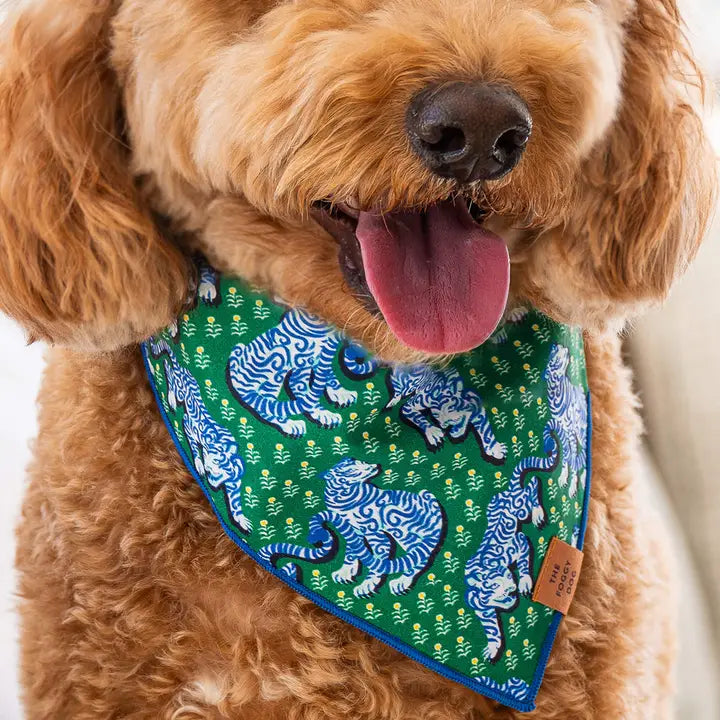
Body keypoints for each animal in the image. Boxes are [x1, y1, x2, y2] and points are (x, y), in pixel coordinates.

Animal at [148, 338, 251, 534]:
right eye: (216, 465)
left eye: (223, 473)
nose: (211, 478)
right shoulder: (189, 427)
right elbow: (196, 449)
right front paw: (199, 463)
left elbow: (235, 506)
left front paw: (240, 520)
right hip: (180, 388)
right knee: (168, 369)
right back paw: (171, 398)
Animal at [227, 309, 359, 438]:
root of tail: (236, 375)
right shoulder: (302, 360)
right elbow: (303, 390)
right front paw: (323, 414)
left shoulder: (318, 357)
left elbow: (328, 374)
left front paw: (341, 393)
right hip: (278, 358)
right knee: (265, 402)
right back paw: (289, 424)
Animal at [259, 457, 446, 598]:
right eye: (352, 468)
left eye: (363, 462)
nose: (375, 466)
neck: (344, 497)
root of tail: (429, 500)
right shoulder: (352, 531)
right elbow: (351, 552)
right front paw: (345, 572)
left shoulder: (375, 534)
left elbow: (377, 560)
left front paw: (367, 584)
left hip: (403, 531)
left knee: (421, 557)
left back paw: (402, 581)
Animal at [464, 420, 560, 662]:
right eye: (494, 584)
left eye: (508, 576)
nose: (511, 587)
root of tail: (506, 491)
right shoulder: (482, 610)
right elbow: (492, 629)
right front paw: (493, 647)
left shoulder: (520, 543)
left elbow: (525, 560)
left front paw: (525, 582)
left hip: (520, 507)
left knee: (533, 485)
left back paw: (538, 513)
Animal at [544, 343, 589, 498]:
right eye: (553, 360)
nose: (556, 346)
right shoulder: (562, 428)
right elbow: (566, 452)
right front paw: (564, 477)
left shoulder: (570, 430)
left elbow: (573, 455)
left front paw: (573, 485)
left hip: (580, 431)